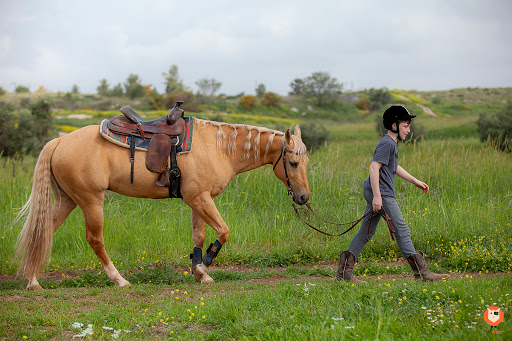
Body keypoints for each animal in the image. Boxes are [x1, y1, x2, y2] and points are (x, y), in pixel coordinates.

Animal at [15, 117, 308, 286]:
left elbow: (199, 236)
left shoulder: (199, 200)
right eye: (293, 163)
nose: (304, 197)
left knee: (43, 231)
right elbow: (223, 231)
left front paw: (200, 272)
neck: (218, 148)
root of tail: (60, 140)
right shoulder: (200, 199)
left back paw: (32, 280)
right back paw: (119, 280)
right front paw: (206, 264)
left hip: (67, 200)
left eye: (305, 161)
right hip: (90, 201)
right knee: (95, 239)